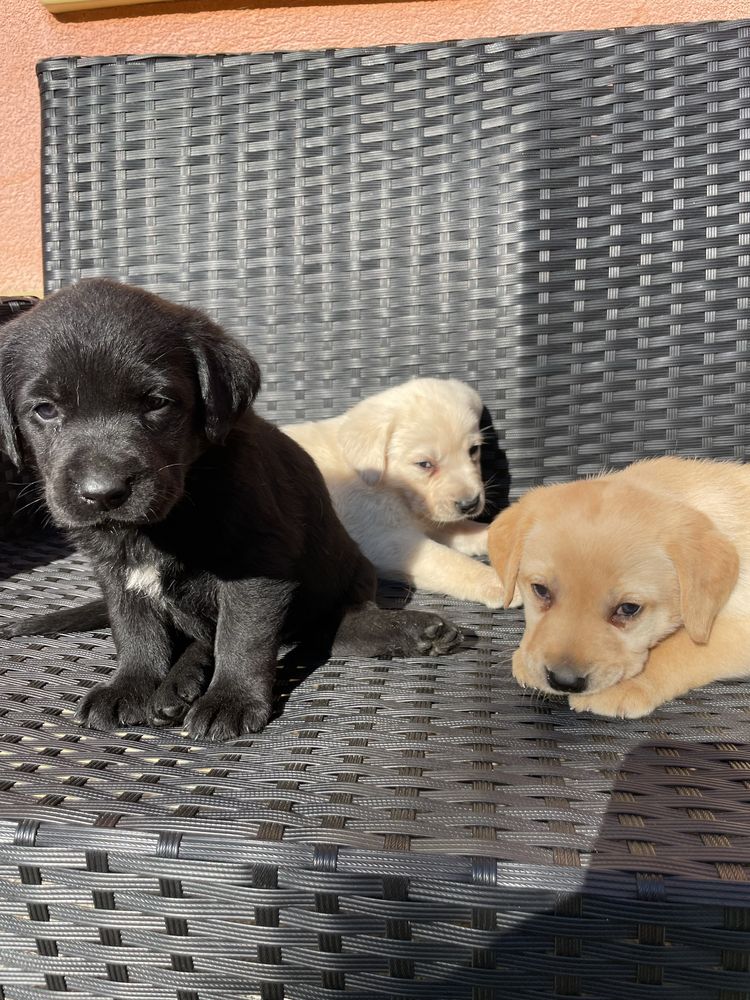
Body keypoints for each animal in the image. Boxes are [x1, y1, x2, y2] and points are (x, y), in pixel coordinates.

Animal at [0, 282, 458, 744]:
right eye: (45, 409)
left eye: (157, 403)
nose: (102, 493)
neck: (172, 512)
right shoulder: (118, 572)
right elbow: (134, 630)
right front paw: (131, 685)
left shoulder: (258, 565)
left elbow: (242, 637)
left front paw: (231, 699)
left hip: (346, 570)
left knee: (329, 625)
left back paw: (415, 631)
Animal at [282, 378, 506, 604]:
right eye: (424, 464)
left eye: (473, 450)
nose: (470, 504)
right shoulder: (385, 538)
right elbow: (447, 561)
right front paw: (497, 583)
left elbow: (467, 529)